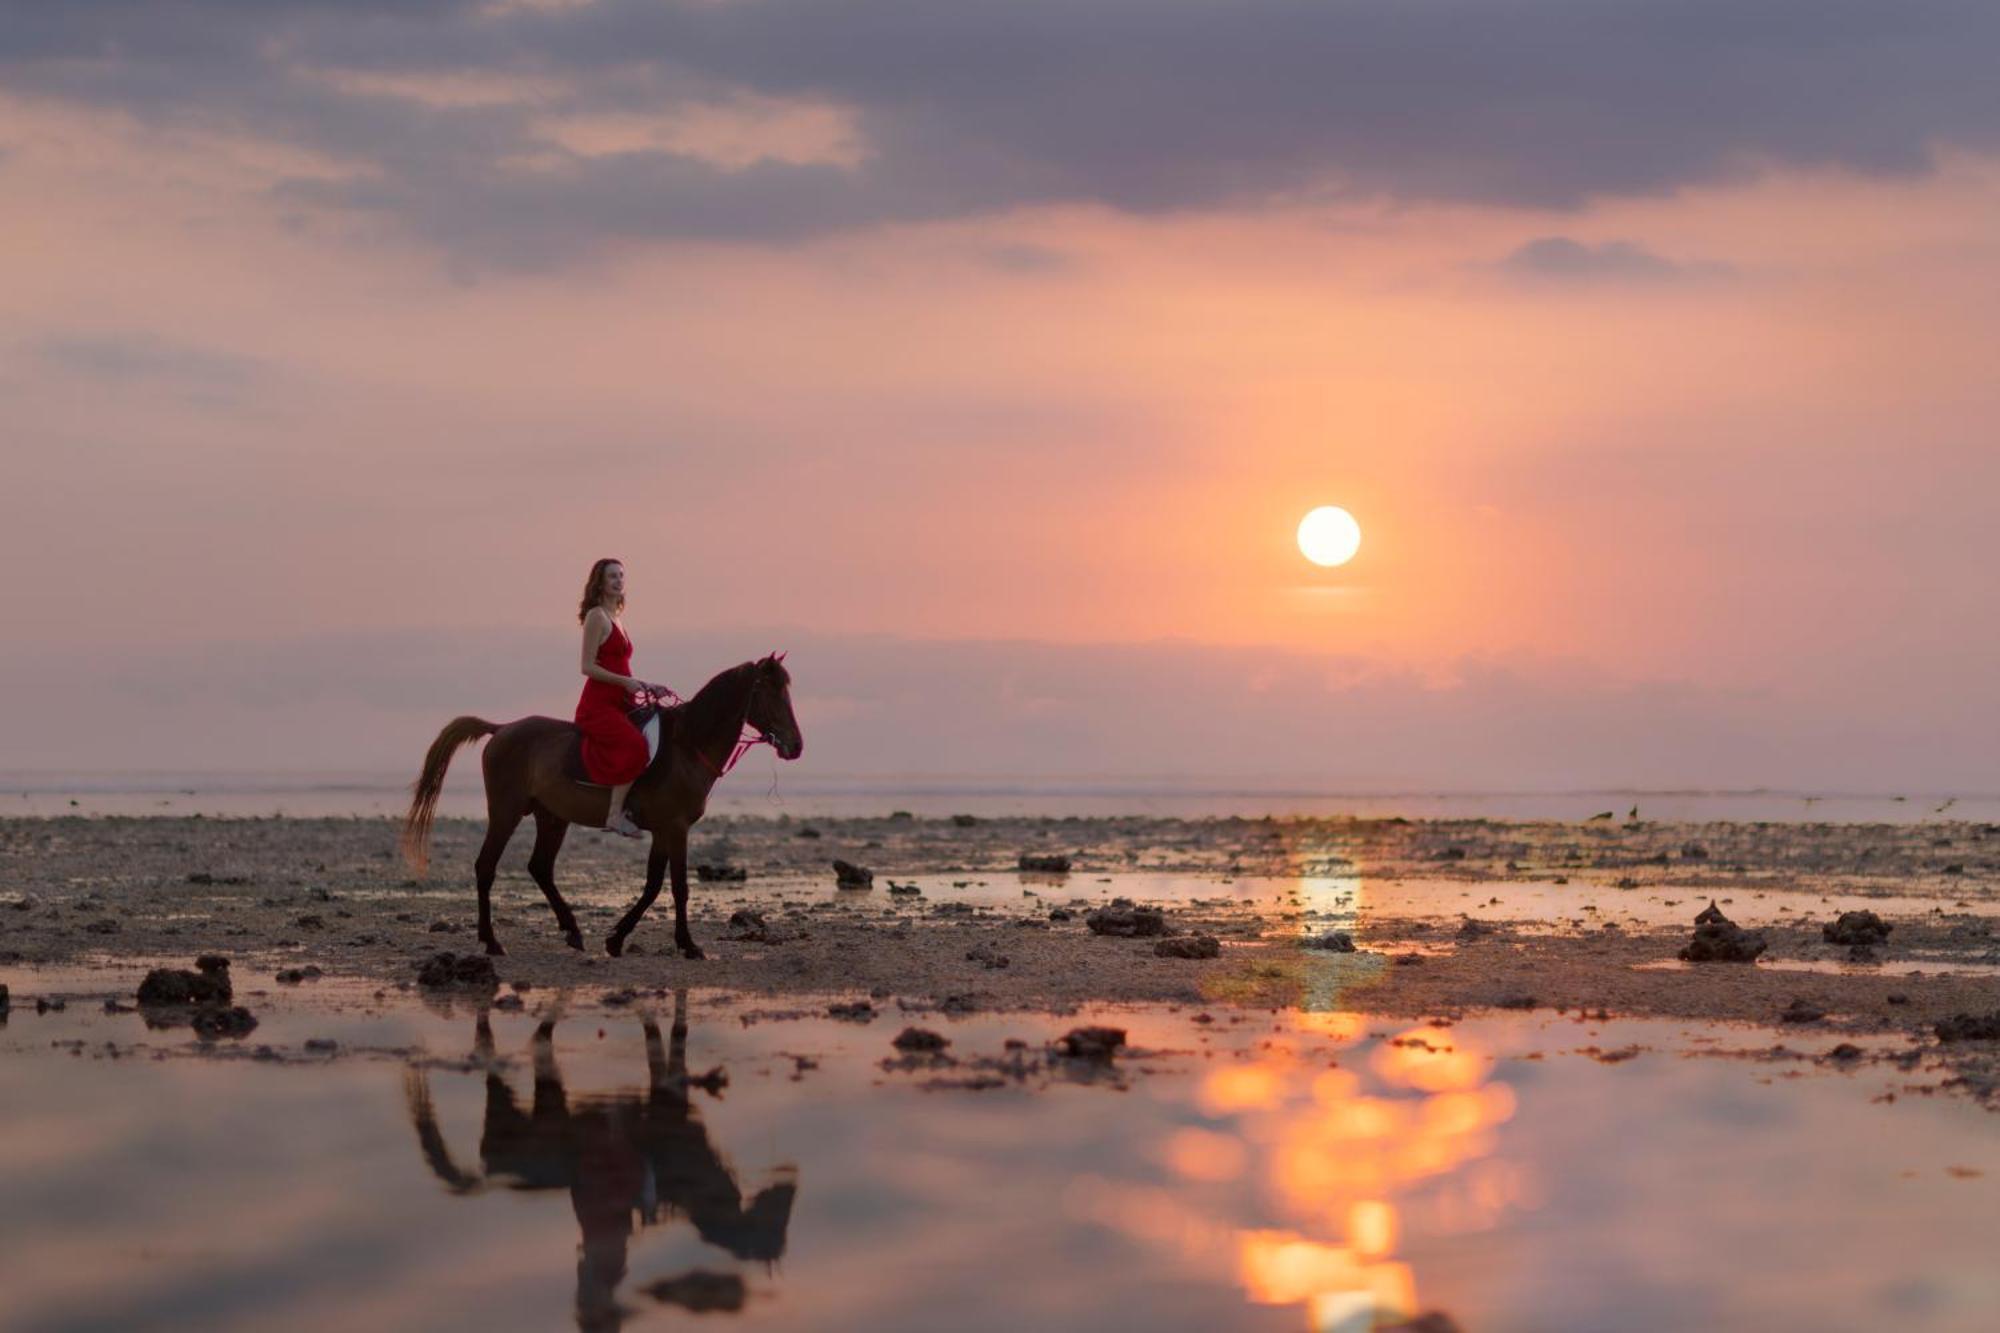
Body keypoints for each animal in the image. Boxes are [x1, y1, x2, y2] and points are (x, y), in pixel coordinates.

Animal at [398, 652, 804, 956]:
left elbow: (653, 884)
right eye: (771, 692)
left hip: (552, 817)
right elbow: (677, 887)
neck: (687, 745)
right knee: (486, 867)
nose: (796, 746)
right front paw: (687, 945)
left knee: (540, 867)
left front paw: (616, 938)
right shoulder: (675, 828)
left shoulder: (663, 831)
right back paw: (492, 941)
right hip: (505, 812)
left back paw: (572, 931)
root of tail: (502, 729)